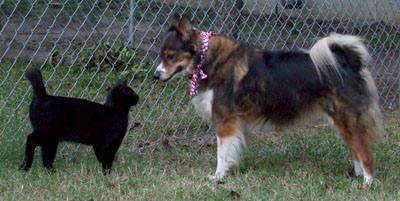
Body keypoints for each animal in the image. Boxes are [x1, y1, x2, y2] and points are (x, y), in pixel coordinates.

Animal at [154, 14, 384, 188]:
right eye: (162, 55)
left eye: (170, 56)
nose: (156, 75)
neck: (206, 59)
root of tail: (348, 61)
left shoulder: (225, 122)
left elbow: (222, 154)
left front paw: (218, 177)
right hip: (341, 120)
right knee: (356, 148)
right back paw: (357, 175)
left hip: (346, 118)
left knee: (364, 151)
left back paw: (368, 182)